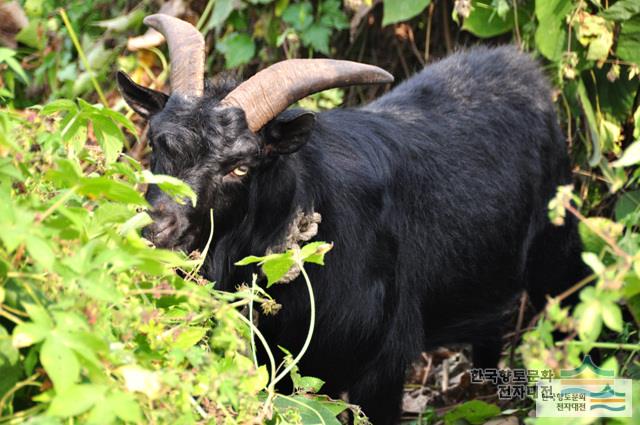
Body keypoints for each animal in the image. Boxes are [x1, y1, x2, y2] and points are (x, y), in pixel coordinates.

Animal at [117, 14, 588, 422]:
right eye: (157, 142)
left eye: (241, 166)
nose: (157, 228)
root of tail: (524, 68)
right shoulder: (280, 367)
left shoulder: (383, 365)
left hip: (558, 254)